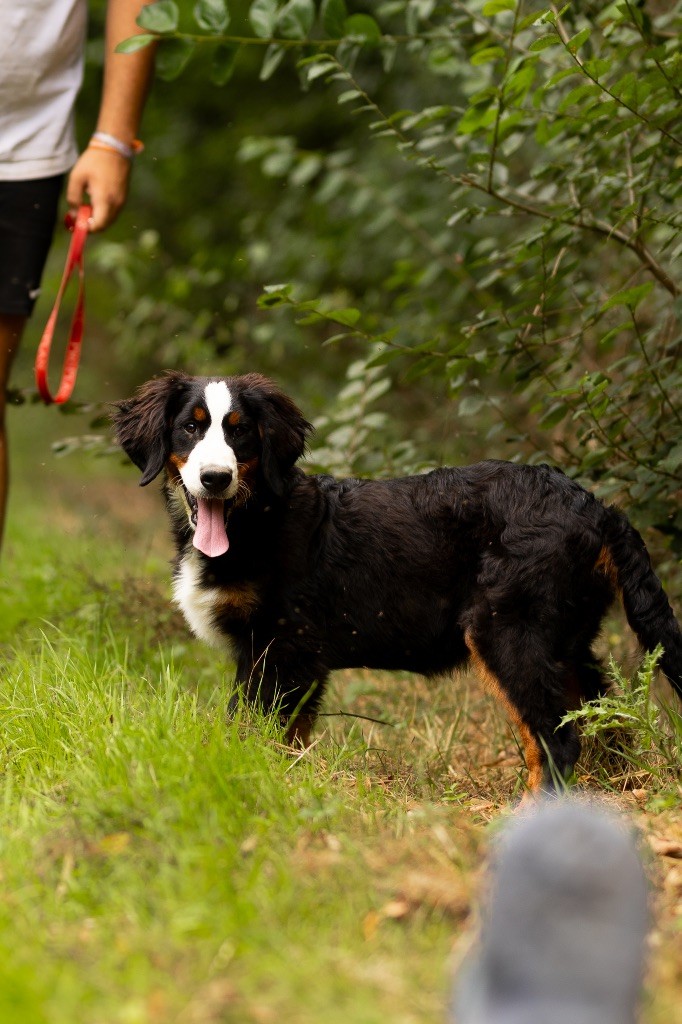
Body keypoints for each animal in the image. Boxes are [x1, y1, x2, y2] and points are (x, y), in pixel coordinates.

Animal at [112, 372, 679, 794]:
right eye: (190, 428)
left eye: (240, 431)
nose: (215, 479)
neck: (256, 519)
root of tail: (597, 508)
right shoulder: (281, 658)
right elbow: (280, 735)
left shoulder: (282, 649)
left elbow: (252, 728)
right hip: (567, 643)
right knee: (605, 724)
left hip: (507, 632)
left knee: (557, 743)